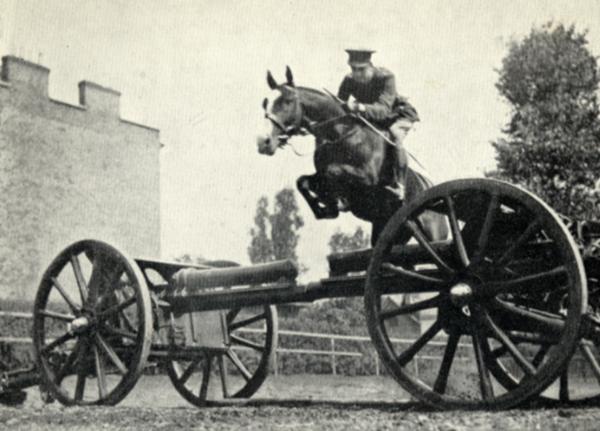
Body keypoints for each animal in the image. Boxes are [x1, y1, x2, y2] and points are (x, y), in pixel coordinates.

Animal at [255, 66, 448, 245]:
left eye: (287, 101)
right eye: (265, 103)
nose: (263, 142)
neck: (339, 134)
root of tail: (430, 186)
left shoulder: (367, 178)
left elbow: (332, 171)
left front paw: (335, 202)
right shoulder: (320, 176)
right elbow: (302, 181)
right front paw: (324, 209)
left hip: (434, 232)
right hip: (390, 230)